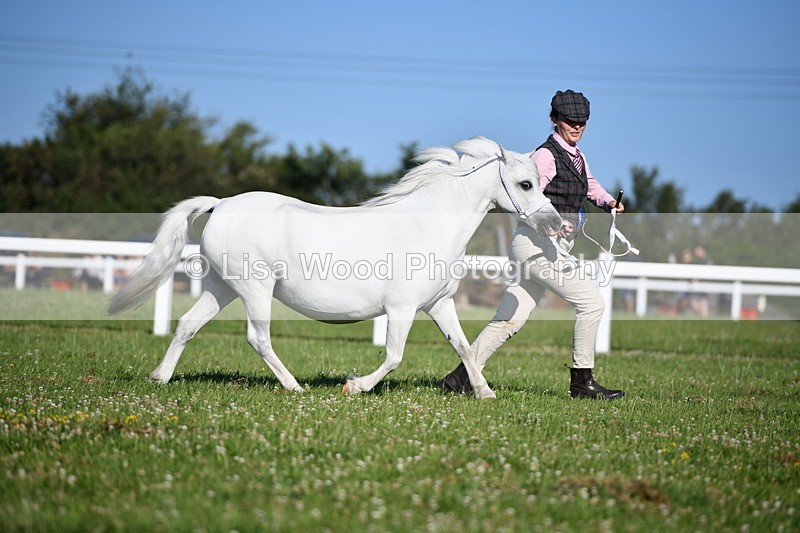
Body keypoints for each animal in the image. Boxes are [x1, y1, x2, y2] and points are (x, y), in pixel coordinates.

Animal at [108, 137, 562, 399]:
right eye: (525, 184)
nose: (557, 224)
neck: (426, 225)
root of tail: (221, 204)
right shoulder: (401, 310)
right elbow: (394, 356)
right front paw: (353, 386)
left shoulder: (439, 304)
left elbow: (465, 347)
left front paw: (485, 393)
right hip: (255, 290)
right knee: (258, 338)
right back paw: (294, 387)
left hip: (221, 287)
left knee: (187, 324)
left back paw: (160, 377)